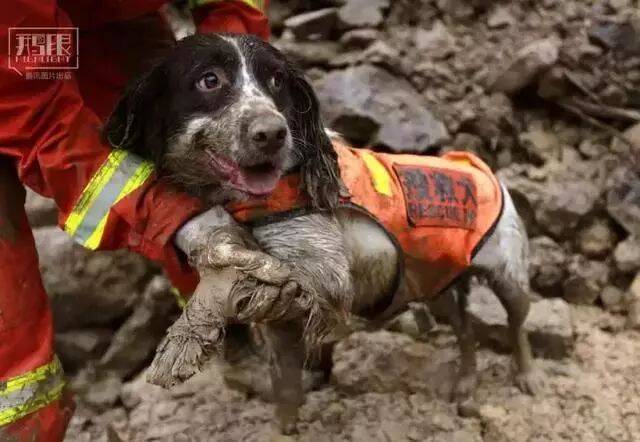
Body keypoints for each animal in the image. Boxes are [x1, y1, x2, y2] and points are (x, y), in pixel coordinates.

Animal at [107, 33, 544, 432]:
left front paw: (186, 334)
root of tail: (478, 165)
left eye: (277, 80)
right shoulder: (279, 321)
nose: (273, 133)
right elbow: (285, 387)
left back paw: (527, 376)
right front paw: (284, 428)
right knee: (466, 330)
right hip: (439, 287)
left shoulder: (325, 275)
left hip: (510, 275)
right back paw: (466, 381)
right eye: (209, 79)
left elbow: (250, 285)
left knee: (517, 325)